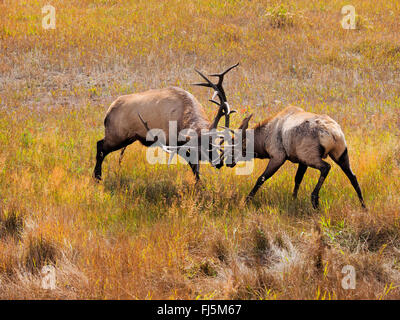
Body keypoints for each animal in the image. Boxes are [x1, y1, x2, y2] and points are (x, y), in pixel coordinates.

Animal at [92, 63, 239, 181]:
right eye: (204, 147)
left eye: (214, 142)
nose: (220, 163)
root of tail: (108, 113)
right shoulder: (174, 143)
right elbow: (194, 167)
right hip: (117, 135)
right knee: (100, 146)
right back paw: (97, 177)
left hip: (128, 138)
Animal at [223, 105, 368, 210]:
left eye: (234, 146)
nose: (227, 162)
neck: (263, 140)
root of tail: (333, 133)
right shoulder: (301, 161)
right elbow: (298, 179)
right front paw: (294, 200)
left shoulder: (278, 156)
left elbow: (261, 178)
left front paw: (247, 201)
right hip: (340, 153)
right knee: (352, 176)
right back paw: (363, 205)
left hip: (311, 156)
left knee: (326, 167)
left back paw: (315, 200)